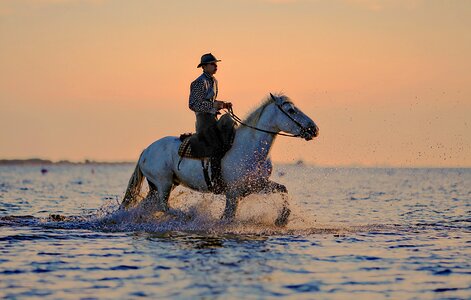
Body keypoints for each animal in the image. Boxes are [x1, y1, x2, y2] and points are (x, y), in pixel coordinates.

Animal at [121, 92, 320, 226]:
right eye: (291, 110)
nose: (314, 129)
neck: (250, 148)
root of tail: (146, 151)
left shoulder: (256, 185)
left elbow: (283, 189)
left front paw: (282, 219)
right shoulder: (233, 193)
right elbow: (228, 217)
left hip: (159, 186)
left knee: (149, 206)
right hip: (163, 183)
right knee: (163, 206)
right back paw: (188, 216)